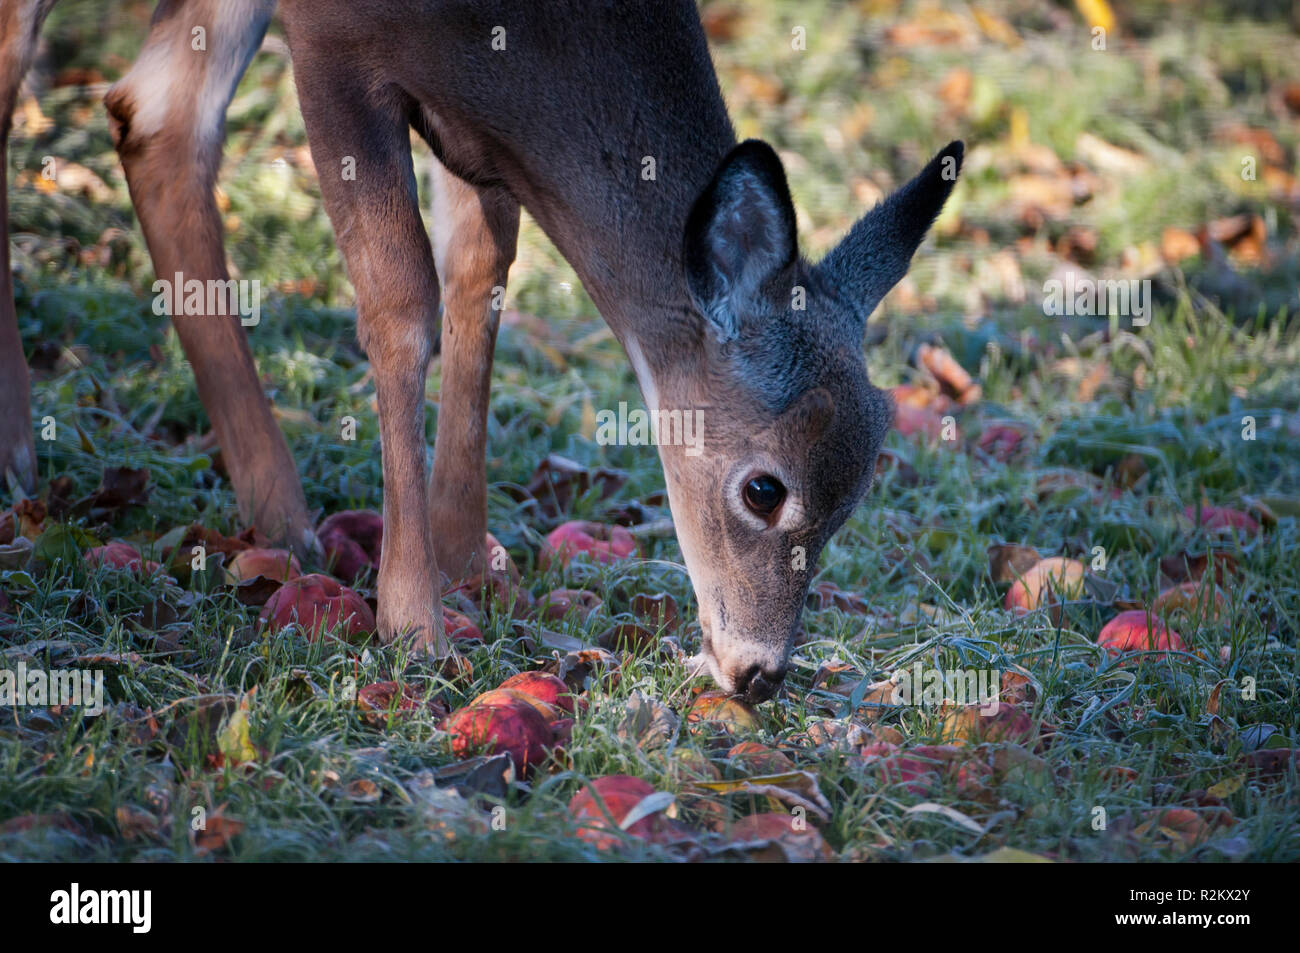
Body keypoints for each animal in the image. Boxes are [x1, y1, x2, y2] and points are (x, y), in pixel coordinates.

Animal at [1, 0, 962, 702]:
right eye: (765, 488)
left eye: (857, 495)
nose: (758, 671)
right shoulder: (335, 39)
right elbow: (400, 297)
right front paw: (412, 621)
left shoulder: (477, 139)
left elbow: (480, 265)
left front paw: (466, 557)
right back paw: (20, 455)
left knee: (156, 111)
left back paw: (277, 513)